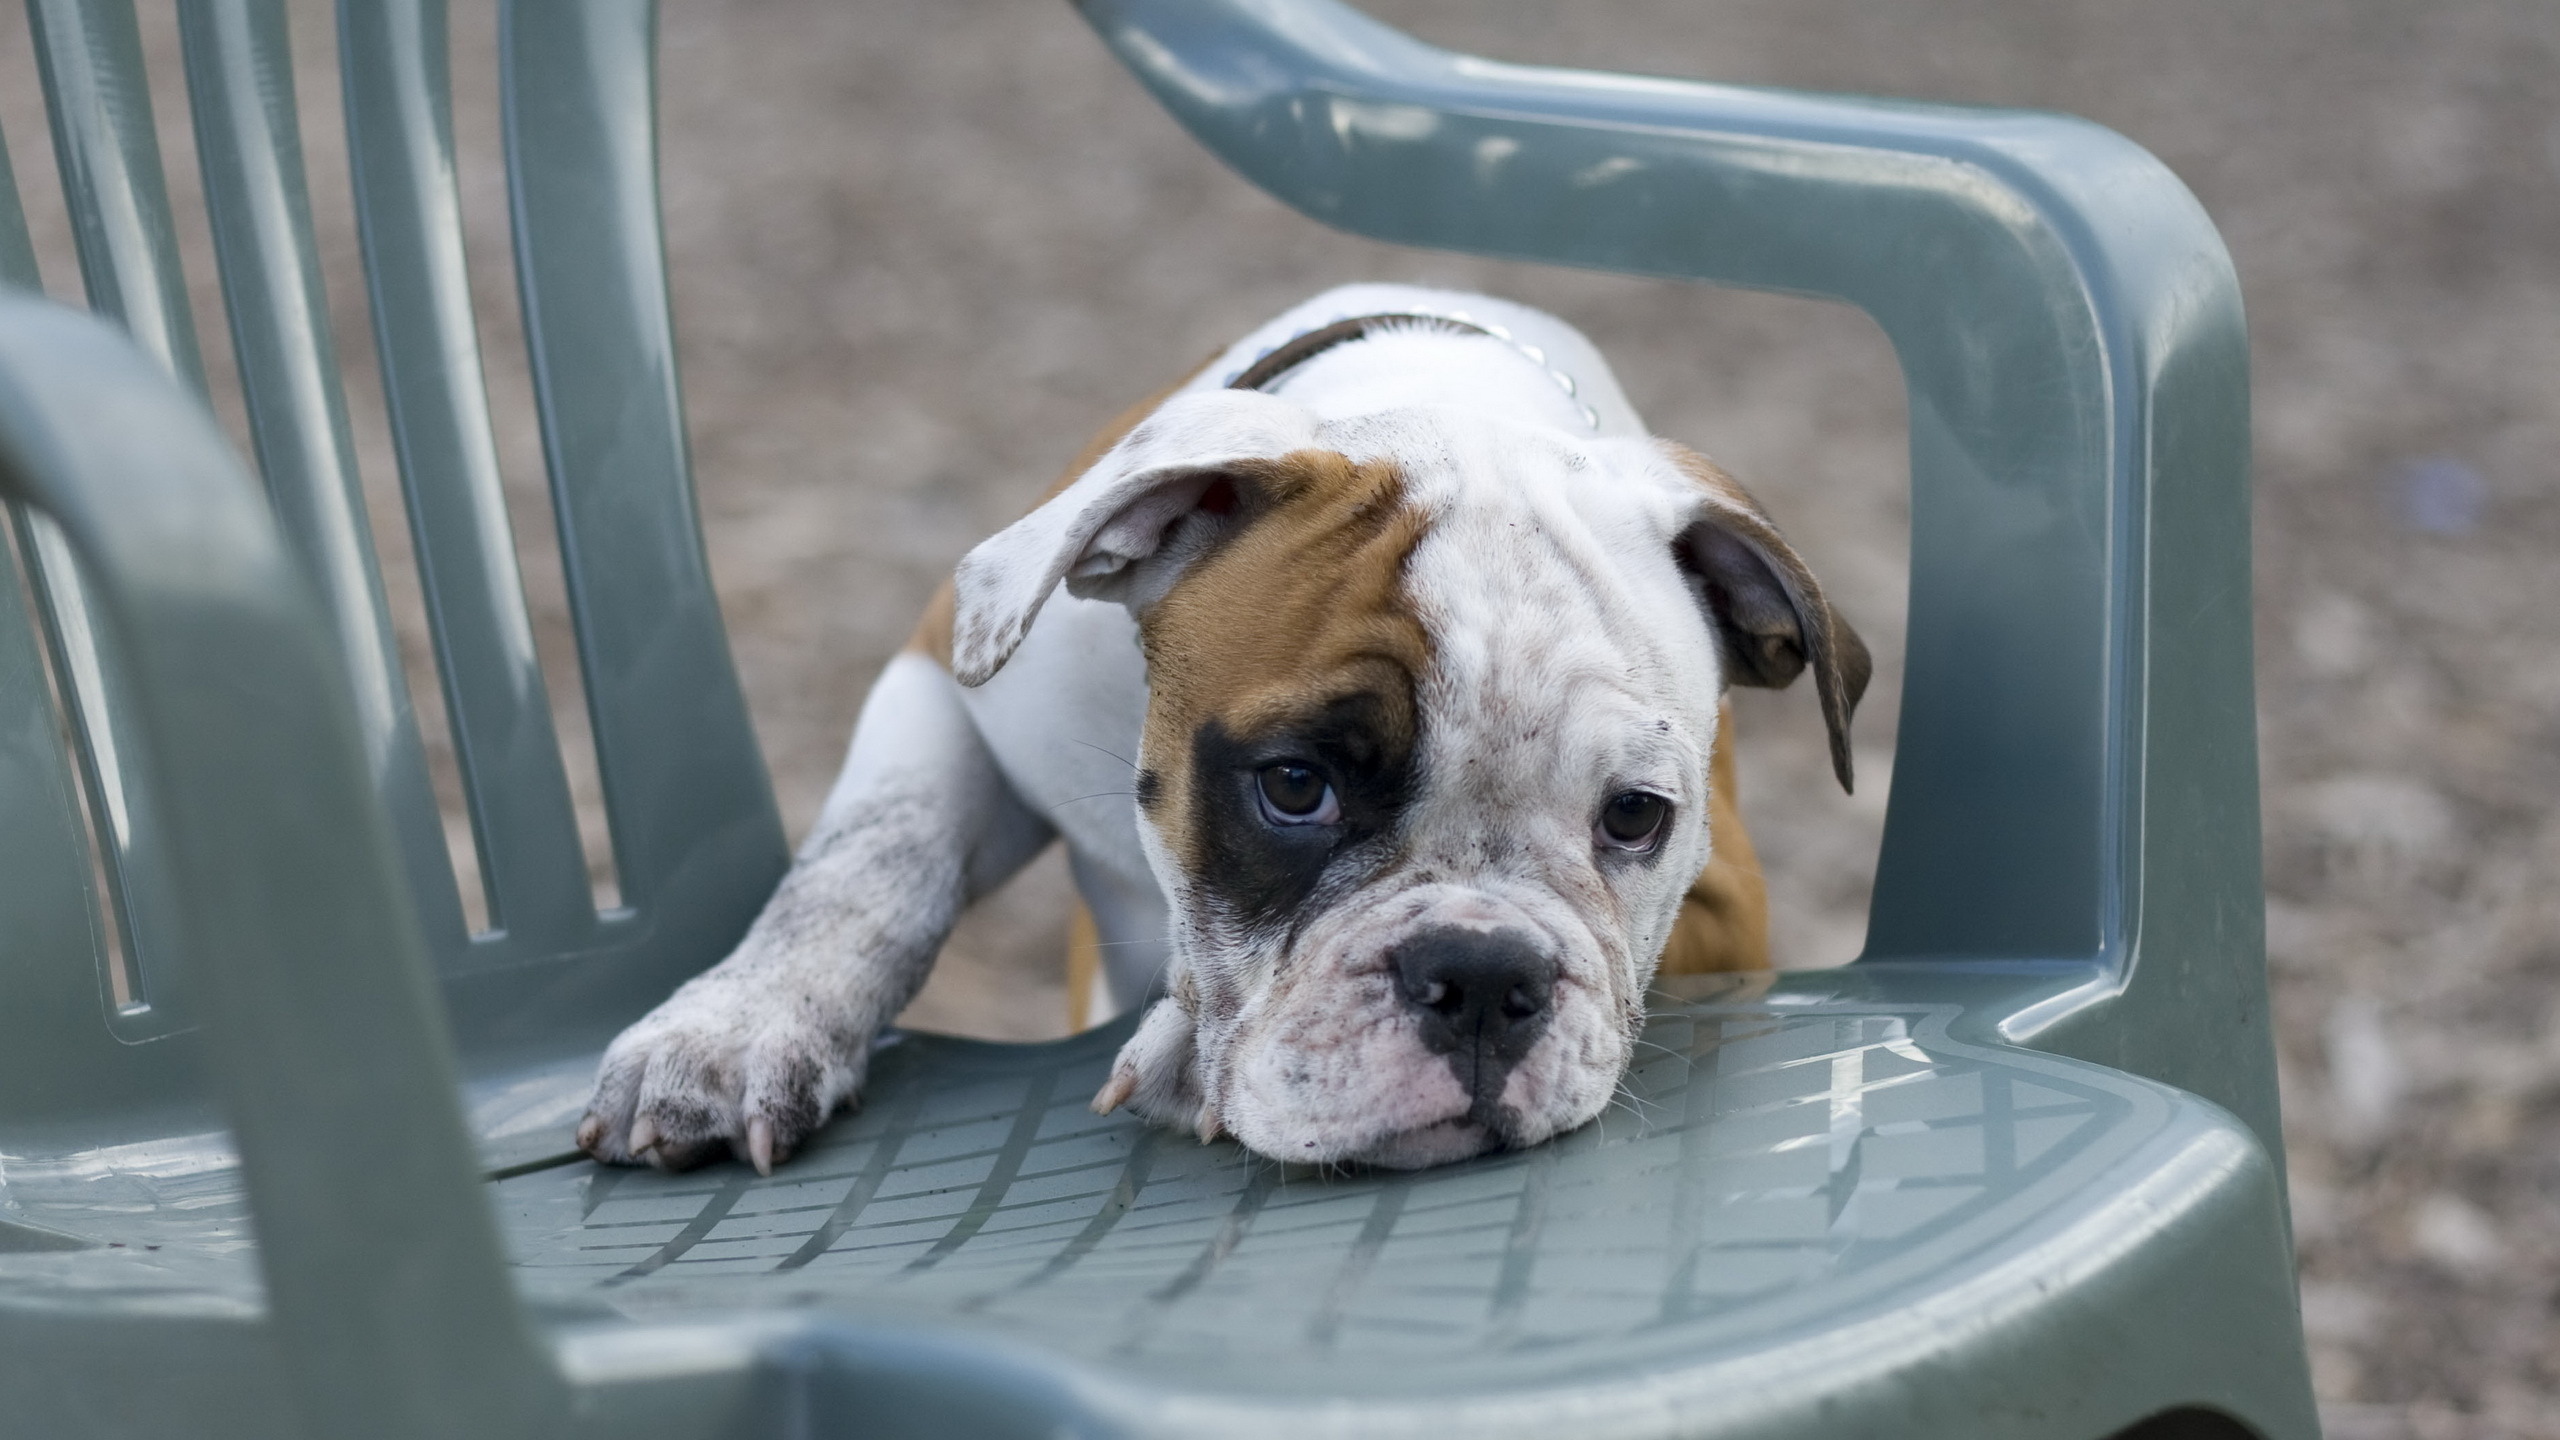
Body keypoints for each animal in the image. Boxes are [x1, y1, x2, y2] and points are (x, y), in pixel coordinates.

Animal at [576, 285, 1863, 1173]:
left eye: (1635, 817)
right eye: (1293, 787)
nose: (1482, 974)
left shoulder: (1730, 905)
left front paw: (1189, 1048)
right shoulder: (949, 678)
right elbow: (869, 862)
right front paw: (732, 1030)